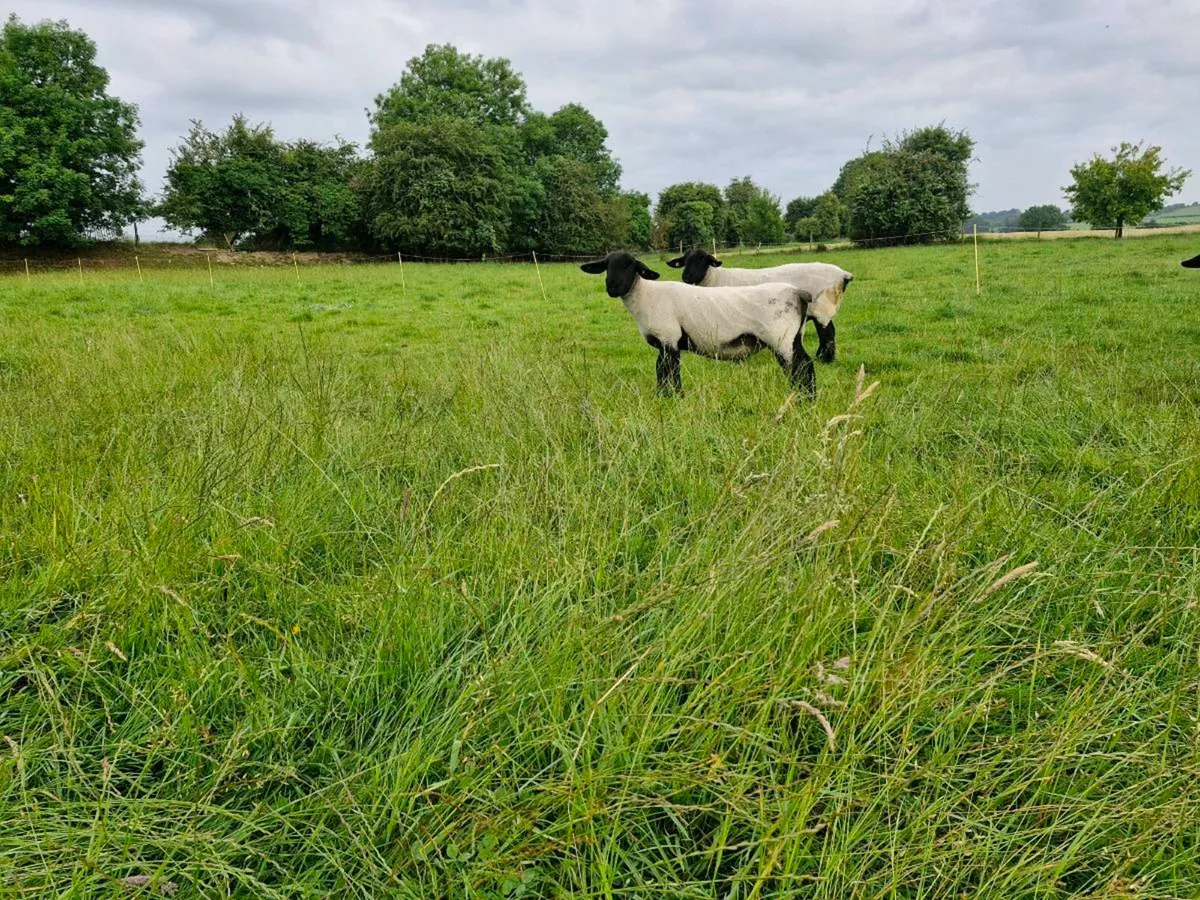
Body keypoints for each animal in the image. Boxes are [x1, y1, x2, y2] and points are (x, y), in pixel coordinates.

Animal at [580, 252, 815, 397]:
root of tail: (798, 293)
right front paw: (662, 397)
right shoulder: (664, 343)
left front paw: (676, 397)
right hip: (794, 336)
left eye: (631, 266)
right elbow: (660, 371)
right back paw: (807, 397)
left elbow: (671, 372)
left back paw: (800, 398)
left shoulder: (669, 339)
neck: (645, 296)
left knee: (800, 367)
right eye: (607, 265)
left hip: (781, 339)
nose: (612, 286)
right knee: (806, 365)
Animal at [666, 249, 853, 363]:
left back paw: (825, 359)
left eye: (703, 259)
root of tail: (843, 275)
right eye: (684, 261)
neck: (715, 278)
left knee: (827, 333)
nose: (686, 277)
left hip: (823, 308)